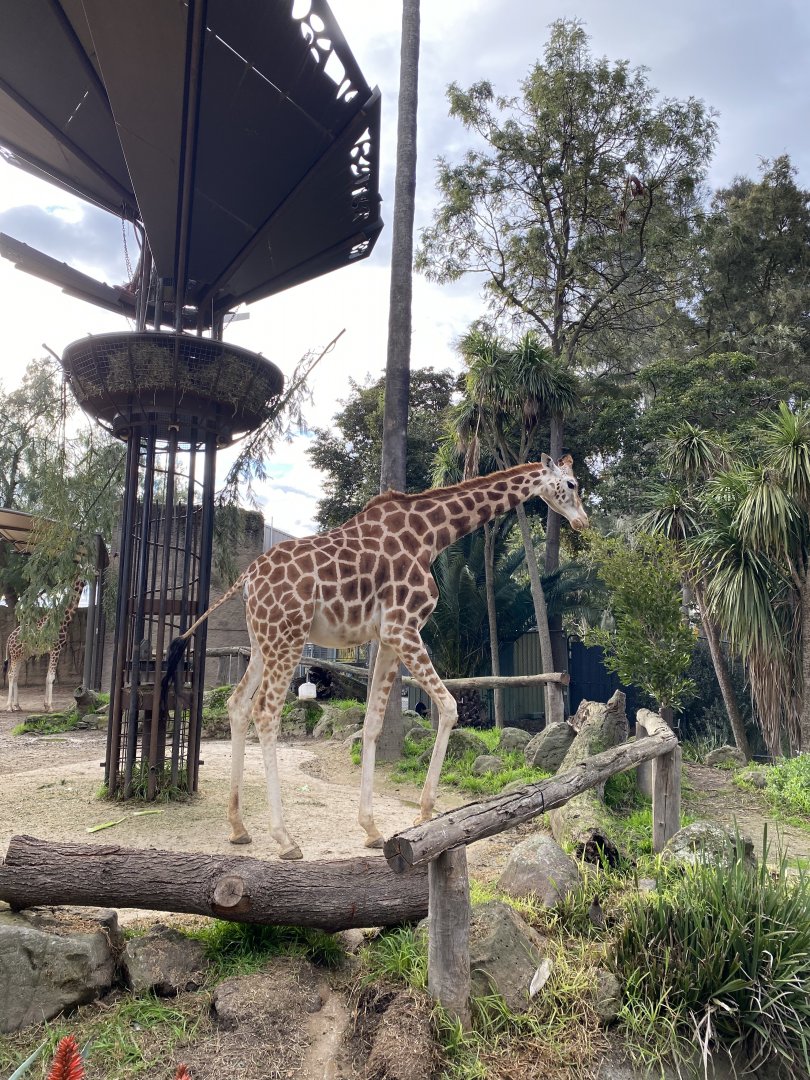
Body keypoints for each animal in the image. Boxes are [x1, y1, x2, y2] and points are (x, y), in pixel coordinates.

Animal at [4, 578, 85, 712]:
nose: (97, 574)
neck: (63, 620)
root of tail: (9, 638)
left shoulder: (52, 651)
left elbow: (47, 677)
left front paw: (46, 705)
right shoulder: (56, 649)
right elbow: (51, 677)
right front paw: (50, 707)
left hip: (20, 655)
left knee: (15, 676)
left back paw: (17, 705)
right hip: (15, 655)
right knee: (11, 674)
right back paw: (9, 706)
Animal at [161, 456, 589, 859]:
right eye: (571, 484)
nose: (582, 521)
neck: (430, 534)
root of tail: (248, 576)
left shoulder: (385, 638)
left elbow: (372, 723)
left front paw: (371, 828)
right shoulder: (403, 627)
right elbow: (449, 707)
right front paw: (424, 812)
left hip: (262, 641)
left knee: (237, 704)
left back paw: (238, 827)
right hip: (289, 636)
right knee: (265, 711)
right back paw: (284, 839)